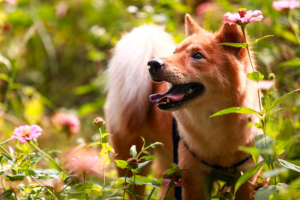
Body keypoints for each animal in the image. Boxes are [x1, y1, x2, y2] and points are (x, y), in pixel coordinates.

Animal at [105, 14, 262, 200]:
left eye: (197, 55)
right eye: (175, 52)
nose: (153, 63)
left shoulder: (246, 178)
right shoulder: (193, 178)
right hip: (132, 166)